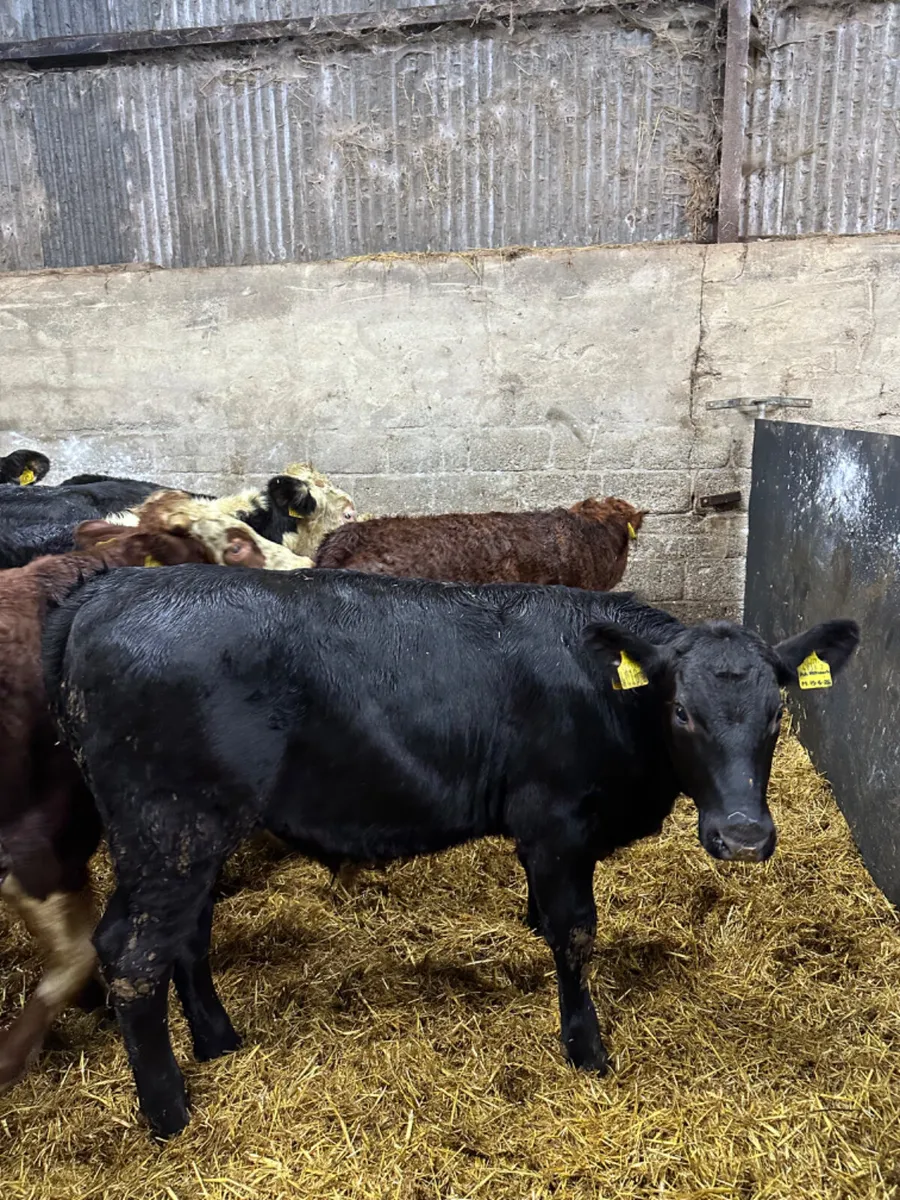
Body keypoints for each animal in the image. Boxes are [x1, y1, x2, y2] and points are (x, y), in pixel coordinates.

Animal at [42, 566, 858, 1137]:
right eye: (681, 711)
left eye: (778, 712)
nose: (744, 836)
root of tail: (110, 587)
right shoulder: (556, 820)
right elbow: (575, 933)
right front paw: (586, 1048)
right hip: (169, 824)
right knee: (132, 955)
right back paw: (170, 1114)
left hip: (192, 833)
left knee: (184, 934)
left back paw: (217, 1041)